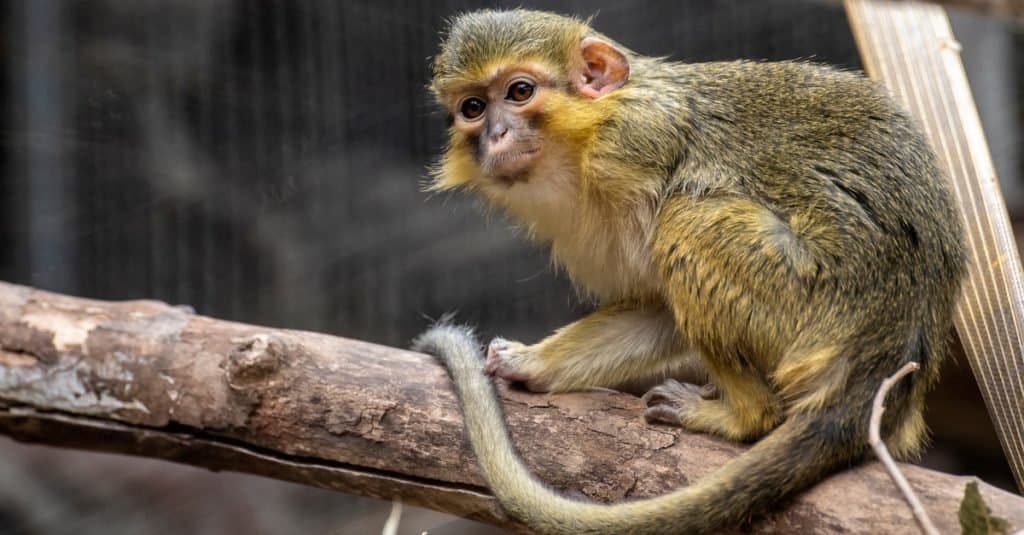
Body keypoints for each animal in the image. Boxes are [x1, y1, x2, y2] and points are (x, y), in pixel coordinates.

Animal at [412, 9, 966, 535]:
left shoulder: (631, 146)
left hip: (816, 305)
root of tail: (887, 349)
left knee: (688, 217)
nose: (496, 134)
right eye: (473, 108)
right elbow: (657, 308)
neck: (582, 142)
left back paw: (743, 416)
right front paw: (533, 363)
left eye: (520, 91)